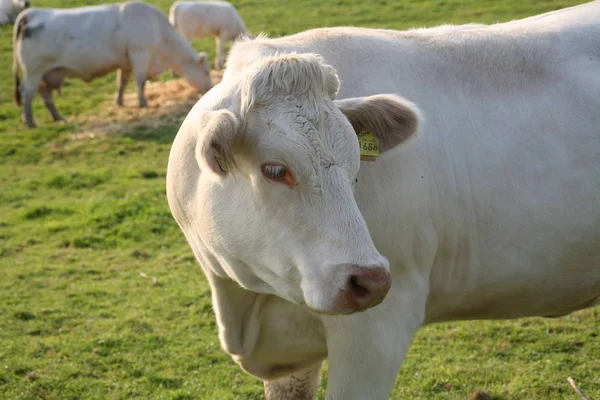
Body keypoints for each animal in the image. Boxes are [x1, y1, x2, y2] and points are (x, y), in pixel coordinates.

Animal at [11, 0, 214, 128]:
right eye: (206, 72)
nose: (210, 89)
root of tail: (31, 13)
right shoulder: (140, 55)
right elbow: (140, 81)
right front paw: (143, 103)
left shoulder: (126, 64)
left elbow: (121, 83)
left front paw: (120, 101)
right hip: (33, 73)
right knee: (27, 94)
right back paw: (29, 122)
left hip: (47, 75)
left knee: (46, 97)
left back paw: (58, 118)